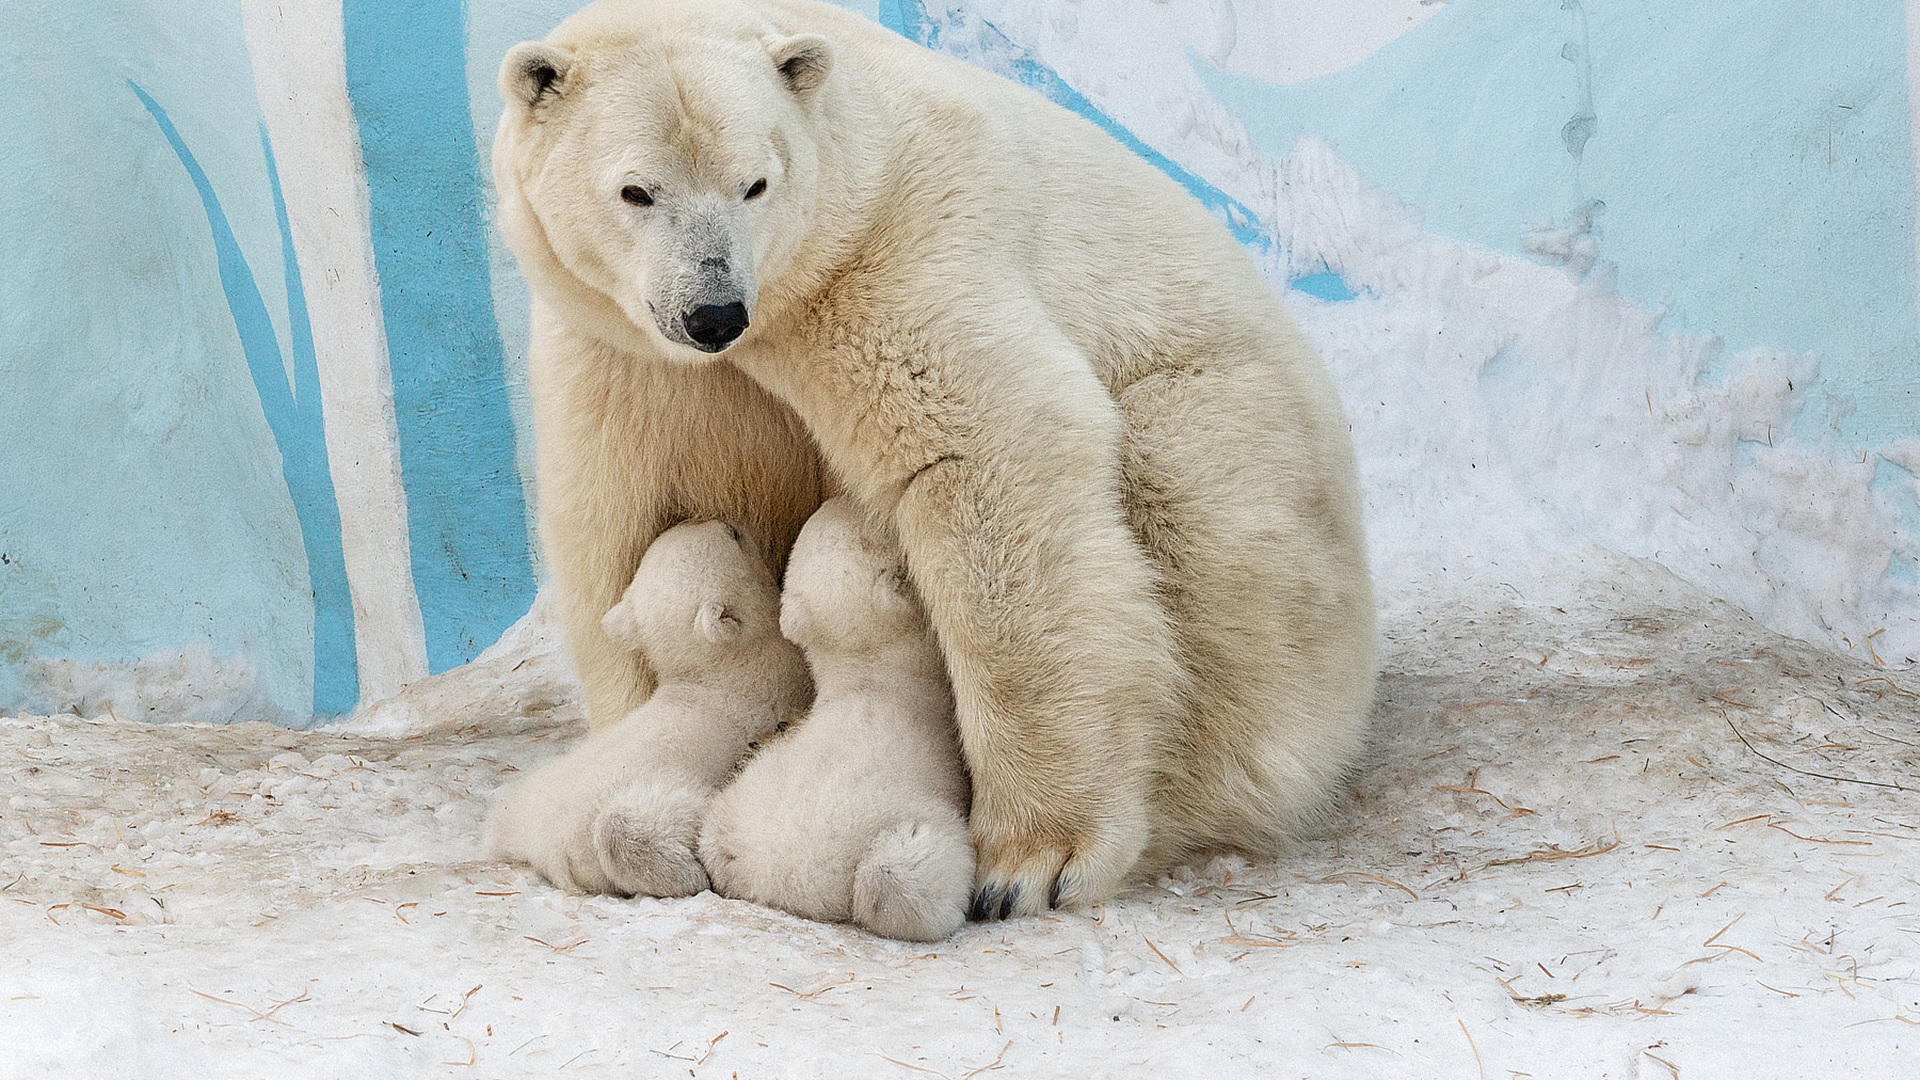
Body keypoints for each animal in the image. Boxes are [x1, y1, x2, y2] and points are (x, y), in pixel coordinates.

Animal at [487, 518, 810, 891]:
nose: (719, 519)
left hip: (533, 793)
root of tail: (547, 851)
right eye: (733, 535)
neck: (716, 671)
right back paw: (687, 872)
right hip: (655, 794)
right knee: (631, 825)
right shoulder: (778, 677)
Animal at [702, 495, 975, 933]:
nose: (838, 496)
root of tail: (792, 881)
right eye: (869, 530)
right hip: (906, 824)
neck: (870, 682)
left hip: (733, 815)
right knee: (896, 877)